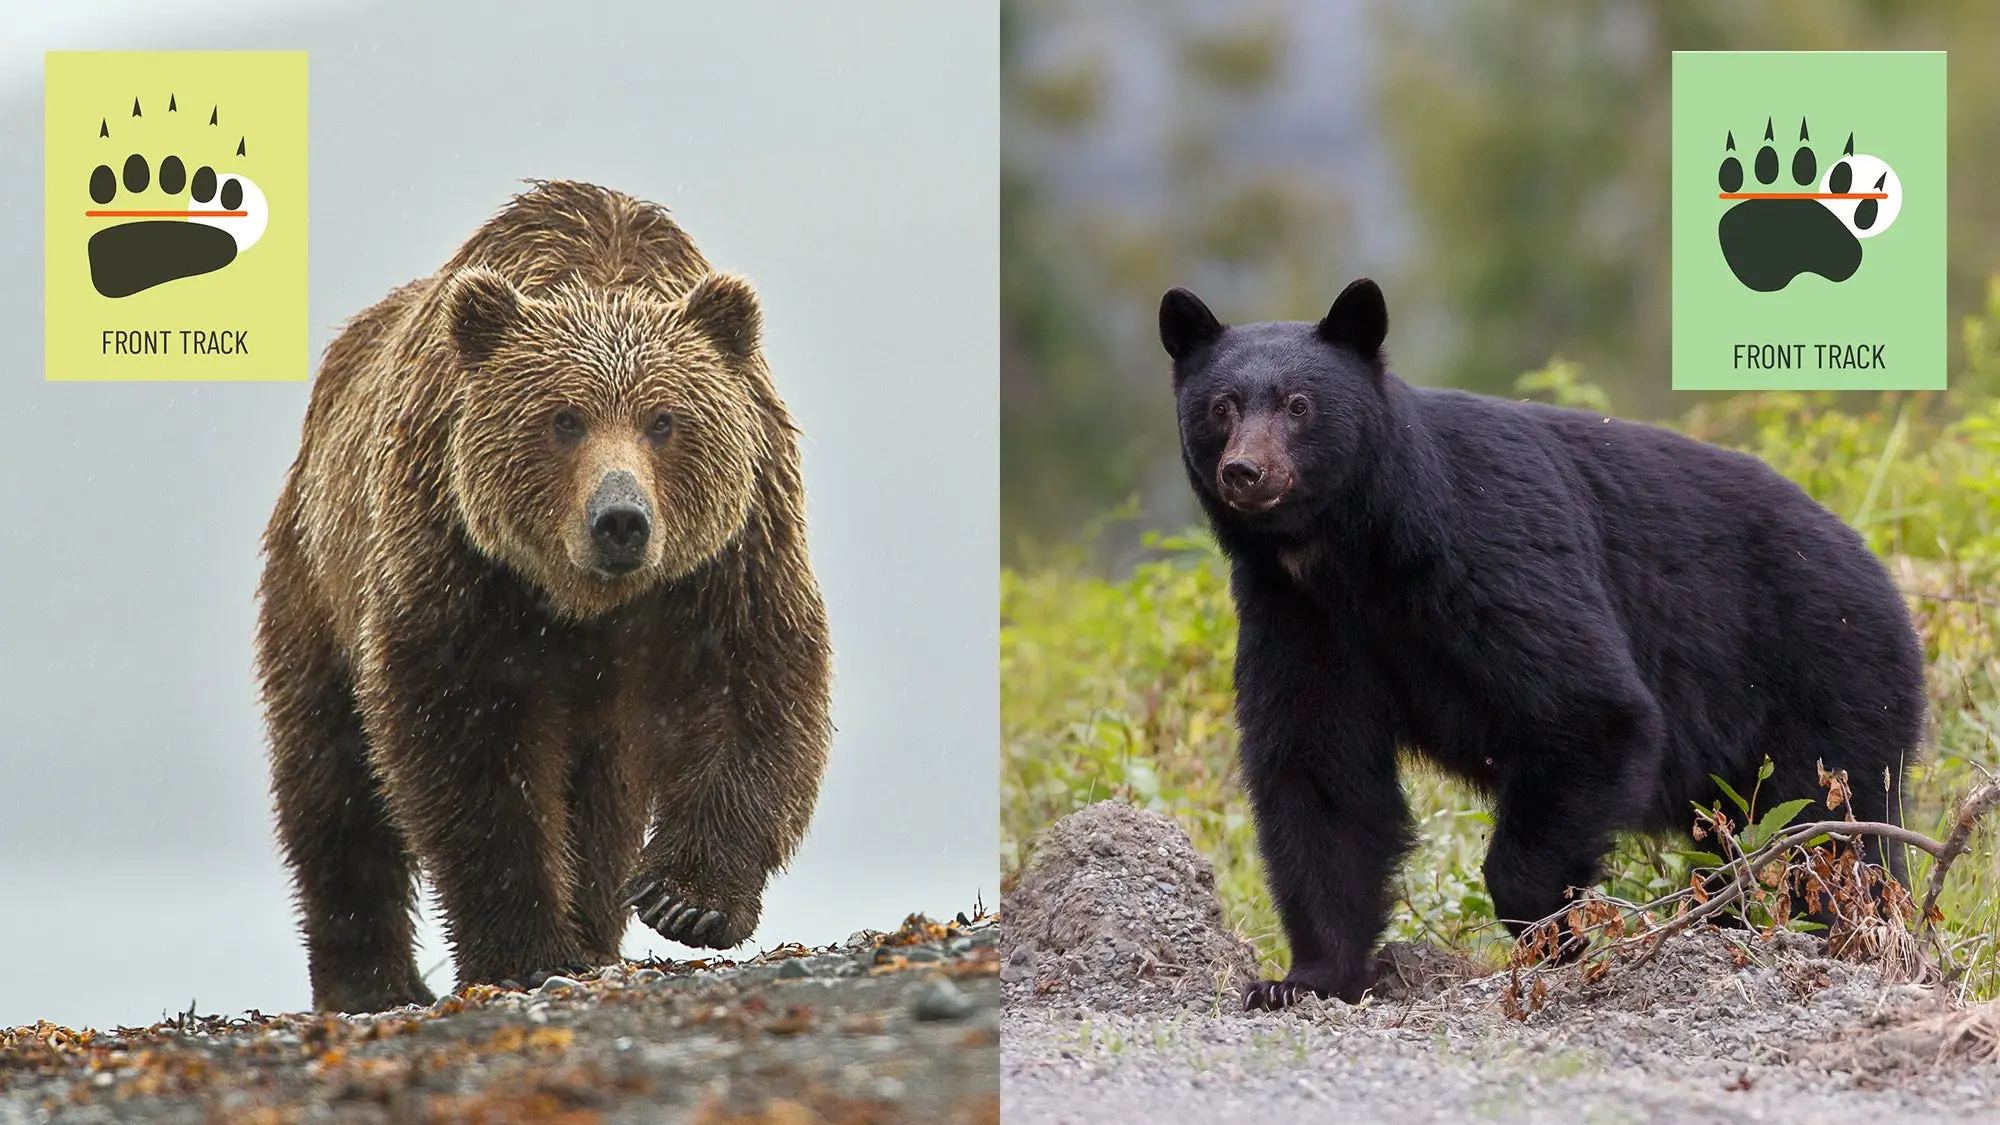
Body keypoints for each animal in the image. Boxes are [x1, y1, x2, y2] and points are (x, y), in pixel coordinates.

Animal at [260, 179, 836, 1012]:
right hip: (315, 580)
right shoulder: (457, 561)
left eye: (664, 419)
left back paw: (595, 930)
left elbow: (753, 688)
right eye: (565, 418)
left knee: (601, 801)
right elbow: (465, 751)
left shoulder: (730, 556)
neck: (585, 603)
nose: (620, 519)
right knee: (330, 781)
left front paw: (685, 899)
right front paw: (526, 948)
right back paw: (372, 980)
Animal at [1168, 278, 1928, 1008]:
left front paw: (1555, 937)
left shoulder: (1491, 550)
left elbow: (1589, 711)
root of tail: (1888, 580)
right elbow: (1321, 775)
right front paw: (1304, 979)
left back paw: (1834, 935)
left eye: (1300, 406)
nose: (1245, 471)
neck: (1353, 552)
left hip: (1829, 678)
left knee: (1829, 833)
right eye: (1222, 407)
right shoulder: (1299, 615)